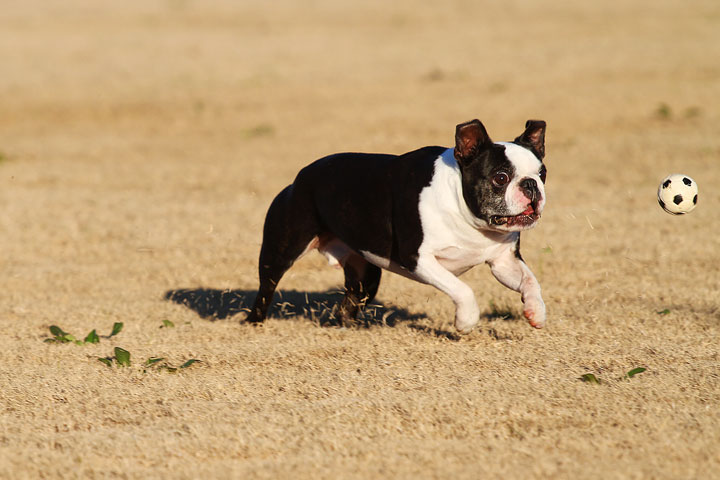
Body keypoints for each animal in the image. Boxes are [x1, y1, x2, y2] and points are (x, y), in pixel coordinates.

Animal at [246, 118, 544, 332]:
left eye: (543, 173)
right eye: (500, 177)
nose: (531, 185)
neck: (467, 215)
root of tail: (301, 176)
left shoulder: (504, 262)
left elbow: (530, 280)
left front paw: (536, 311)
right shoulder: (418, 258)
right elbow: (462, 289)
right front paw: (466, 321)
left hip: (365, 274)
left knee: (349, 301)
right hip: (281, 249)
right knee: (266, 288)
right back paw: (254, 323)